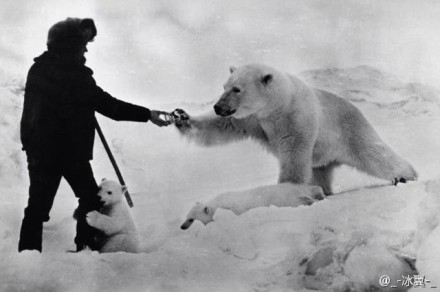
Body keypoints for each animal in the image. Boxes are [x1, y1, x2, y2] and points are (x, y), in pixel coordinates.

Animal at [174, 64, 416, 196]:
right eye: (224, 86)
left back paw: (406, 176)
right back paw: (324, 191)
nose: (218, 107)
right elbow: (221, 127)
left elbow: (294, 154)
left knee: (375, 154)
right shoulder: (253, 119)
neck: (276, 106)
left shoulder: (295, 118)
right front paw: (181, 117)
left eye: (237, 89)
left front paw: (284, 190)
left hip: (350, 131)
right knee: (319, 172)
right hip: (323, 155)